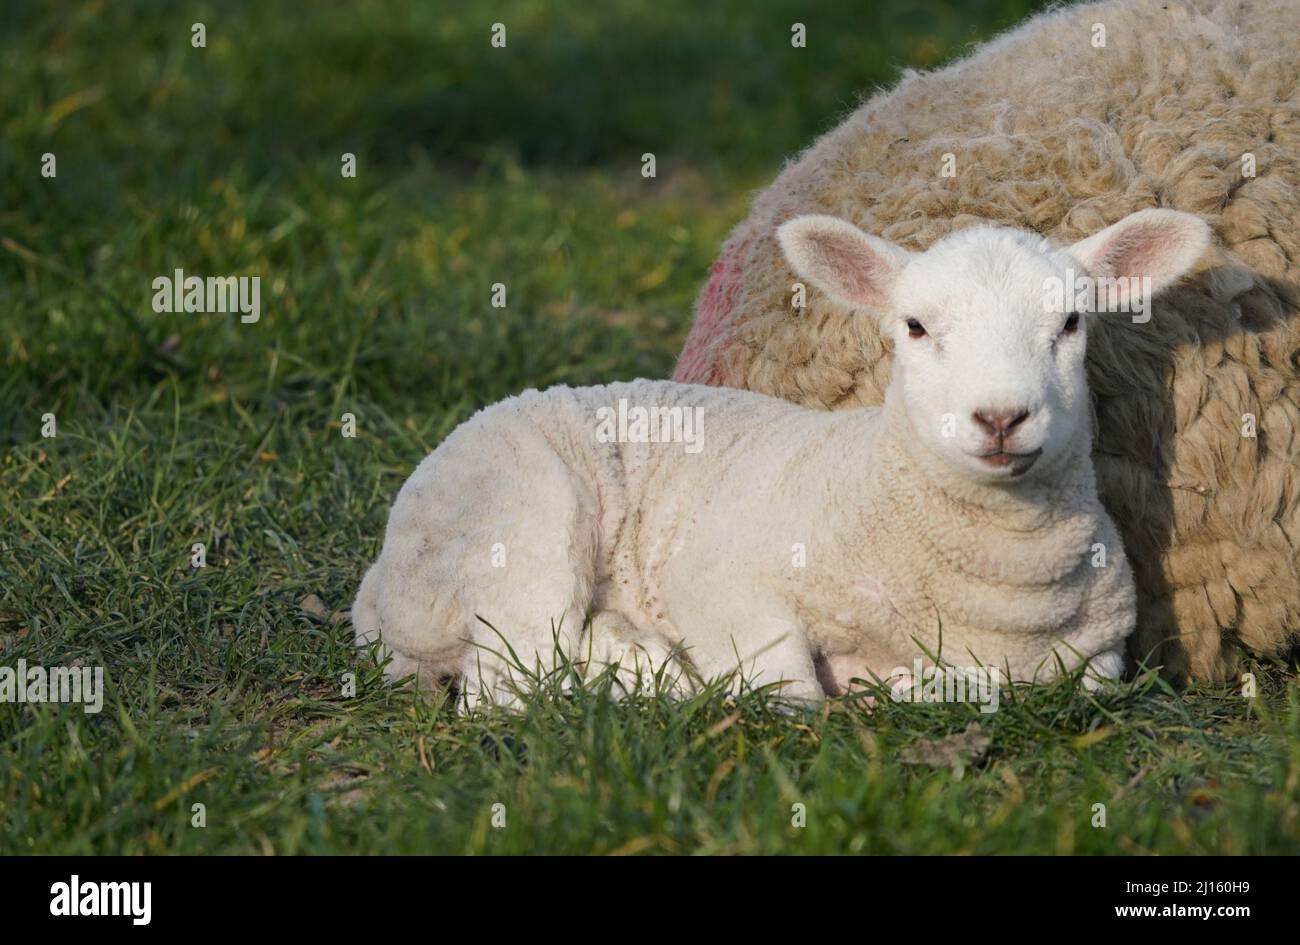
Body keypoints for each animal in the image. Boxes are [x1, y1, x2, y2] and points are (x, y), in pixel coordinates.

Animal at [353, 209, 1206, 707]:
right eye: (915, 326)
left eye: (1071, 322)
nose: (1000, 416)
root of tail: (377, 587)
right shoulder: (723, 576)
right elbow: (788, 685)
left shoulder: (1098, 657)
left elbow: (1051, 684)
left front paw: (914, 683)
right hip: (520, 514)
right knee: (513, 677)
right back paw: (650, 672)